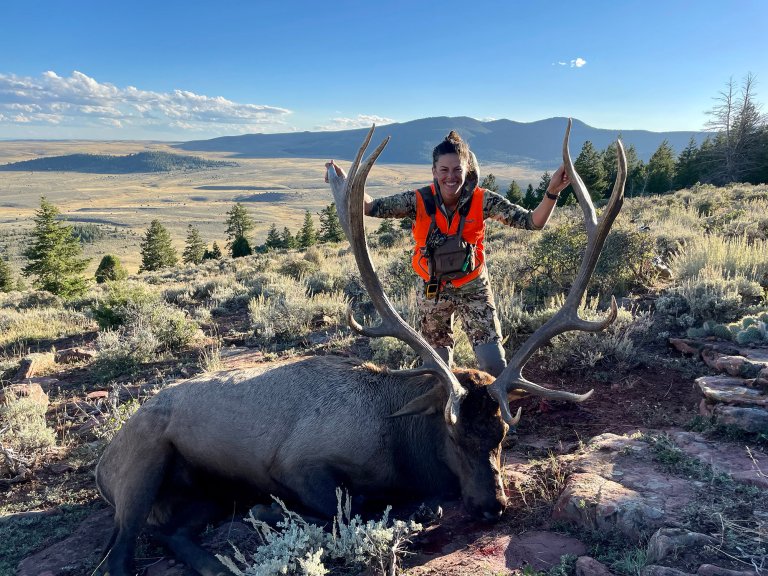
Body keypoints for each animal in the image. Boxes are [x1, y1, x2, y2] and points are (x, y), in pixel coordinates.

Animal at [95, 119, 626, 576]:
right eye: (453, 436)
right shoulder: (296, 463)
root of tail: (100, 464)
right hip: (143, 462)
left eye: (503, 436)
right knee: (119, 552)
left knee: (171, 533)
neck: (401, 447)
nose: (492, 506)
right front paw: (273, 509)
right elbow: (350, 508)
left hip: (205, 494)